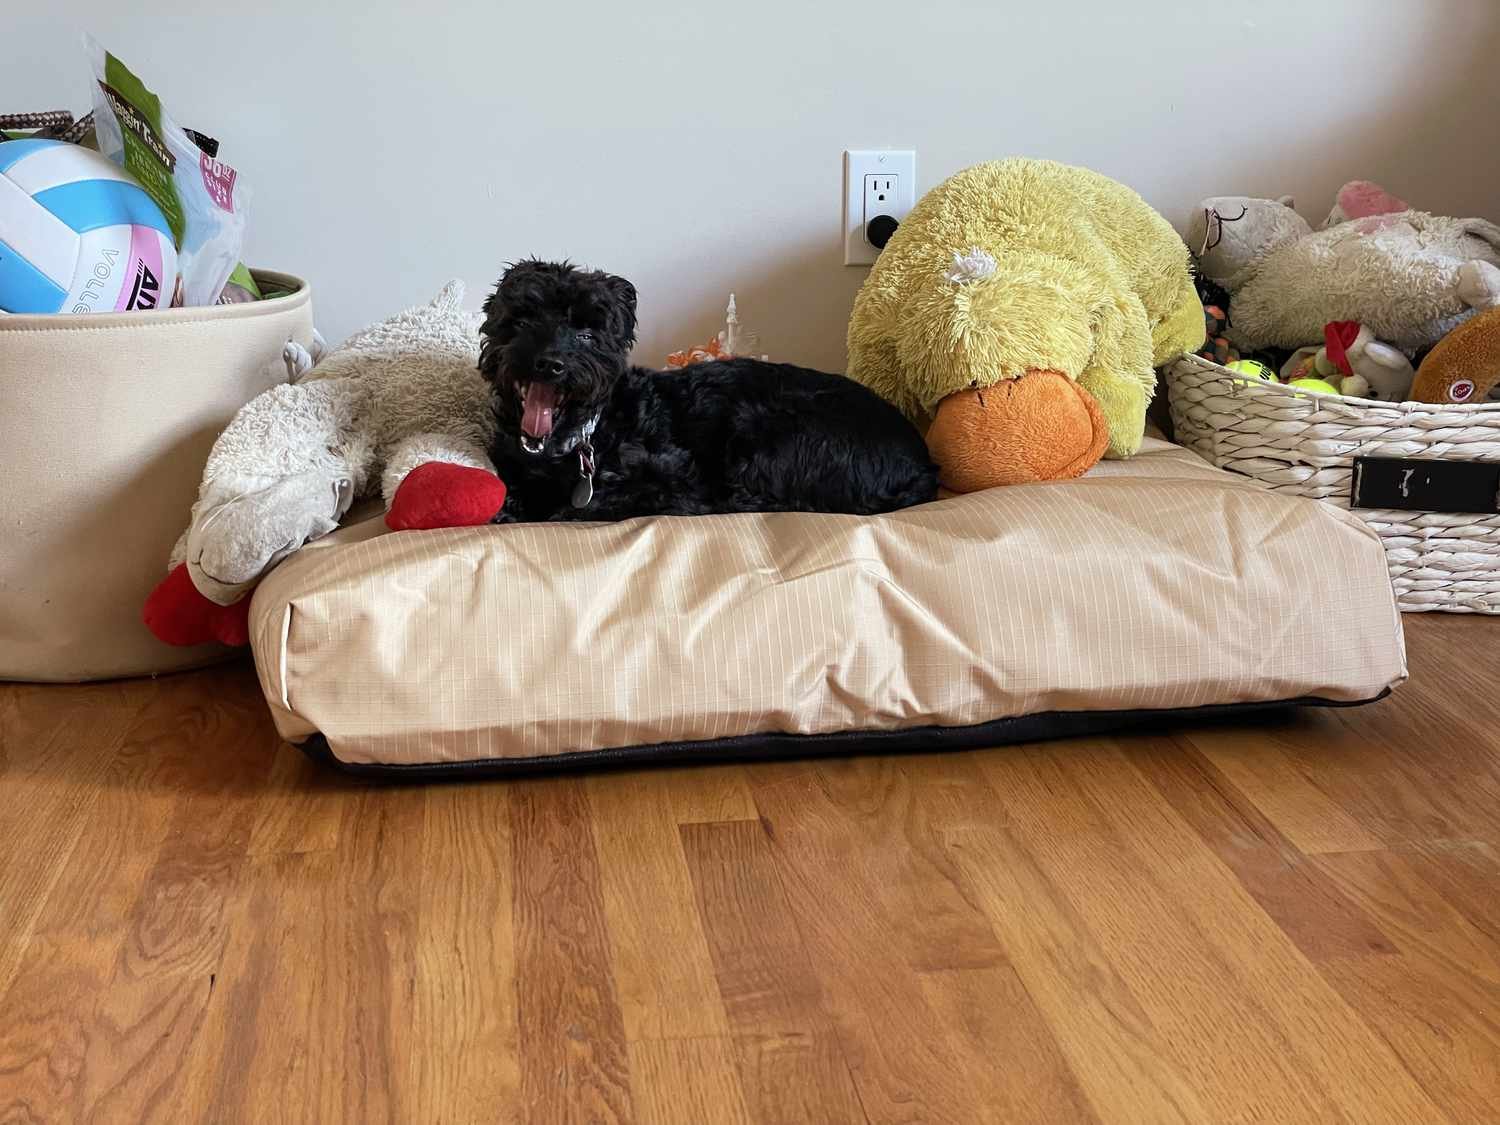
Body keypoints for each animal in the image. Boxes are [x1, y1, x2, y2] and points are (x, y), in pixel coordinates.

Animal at [480, 259, 936, 525]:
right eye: (522, 320)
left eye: (588, 334)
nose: (549, 363)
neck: (583, 436)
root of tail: (924, 464)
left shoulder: (673, 479)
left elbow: (588, 504)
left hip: (762, 433)